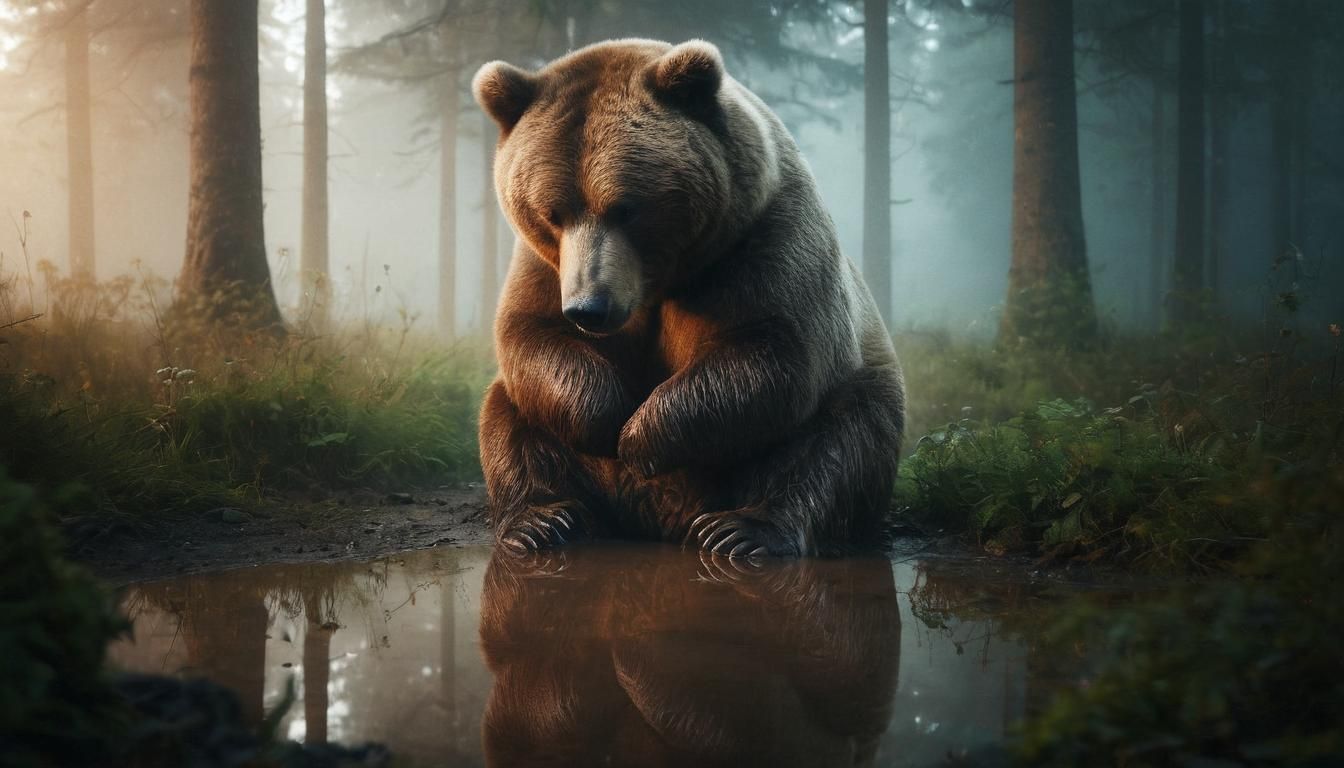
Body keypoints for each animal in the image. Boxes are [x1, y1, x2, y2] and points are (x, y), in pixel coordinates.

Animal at [473, 38, 905, 558]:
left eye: (626, 208)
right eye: (553, 212)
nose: (590, 308)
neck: (661, 281)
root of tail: (653, 522)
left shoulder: (764, 242)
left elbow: (774, 354)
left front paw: (639, 437)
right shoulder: (544, 266)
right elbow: (530, 333)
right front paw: (608, 418)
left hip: (858, 391)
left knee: (836, 447)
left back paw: (742, 529)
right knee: (508, 422)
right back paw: (542, 521)